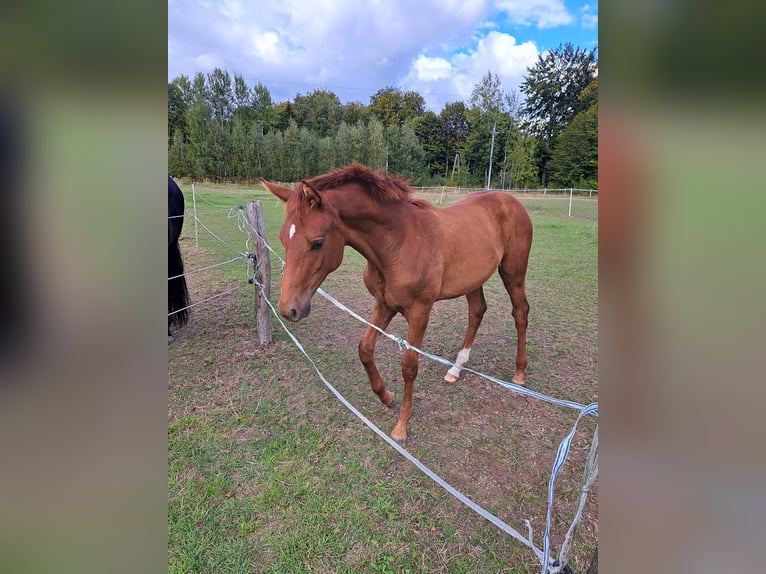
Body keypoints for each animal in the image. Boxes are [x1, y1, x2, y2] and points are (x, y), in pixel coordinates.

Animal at [264, 164, 536, 444]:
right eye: (283, 239)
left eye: (317, 243)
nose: (288, 309)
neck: (398, 243)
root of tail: (510, 200)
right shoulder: (383, 305)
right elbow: (365, 349)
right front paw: (386, 396)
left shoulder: (420, 312)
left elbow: (409, 366)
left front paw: (401, 426)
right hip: (473, 279)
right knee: (477, 312)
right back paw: (455, 369)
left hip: (513, 272)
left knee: (520, 312)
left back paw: (519, 374)